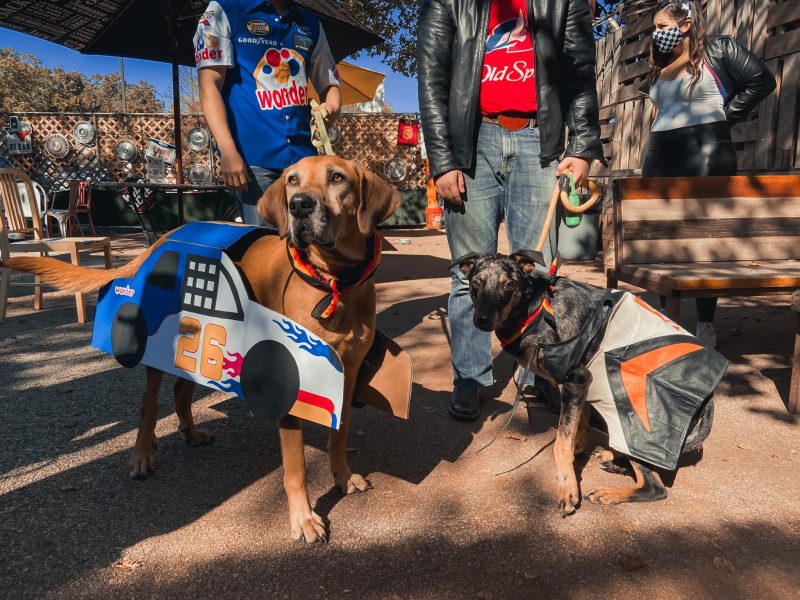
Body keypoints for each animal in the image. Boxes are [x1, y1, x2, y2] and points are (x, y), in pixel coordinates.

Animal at [0, 156, 400, 544]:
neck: (334, 282)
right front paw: (303, 519)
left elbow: (339, 433)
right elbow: (296, 465)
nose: (299, 205)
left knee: (181, 389)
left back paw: (190, 433)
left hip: (201, 344)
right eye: (292, 180)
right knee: (149, 405)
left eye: (337, 178)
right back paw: (142, 455)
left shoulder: (346, 375)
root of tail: (164, 239)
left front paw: (343, 476)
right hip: (158, 354)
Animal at [454, 251, 720, 516]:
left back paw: (610, 492)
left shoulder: (576, 379)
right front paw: (578, 453)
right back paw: (614, 460)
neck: (533, 311)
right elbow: (578, 427)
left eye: (508, 284)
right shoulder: (580, 386)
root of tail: (709, 399)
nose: (482, 320)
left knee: (655, 487)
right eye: (476, 282)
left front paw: (568, 489)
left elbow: (560, 444)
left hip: (633, 429)